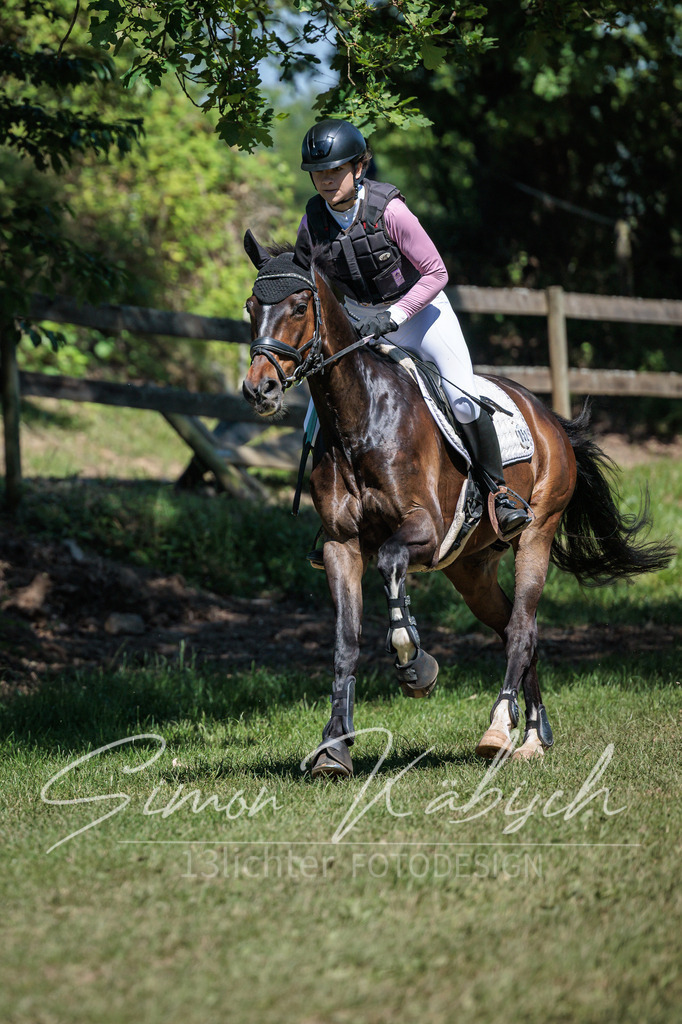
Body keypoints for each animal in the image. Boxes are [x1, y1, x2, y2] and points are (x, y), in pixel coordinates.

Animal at [241, 233, 673, 778]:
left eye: (299, 306)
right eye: (251, 307)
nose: (258, 389)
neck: (359, 418)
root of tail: (547, 415)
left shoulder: (424, 529)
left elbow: (391, 562)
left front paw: (415, 663)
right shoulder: (341, 546)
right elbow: (344, 643)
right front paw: (334, 746)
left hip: (536, 532)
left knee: (521, 628)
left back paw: (499, 729)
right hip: (470, 569)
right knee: (516, 627)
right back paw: (534, 735)